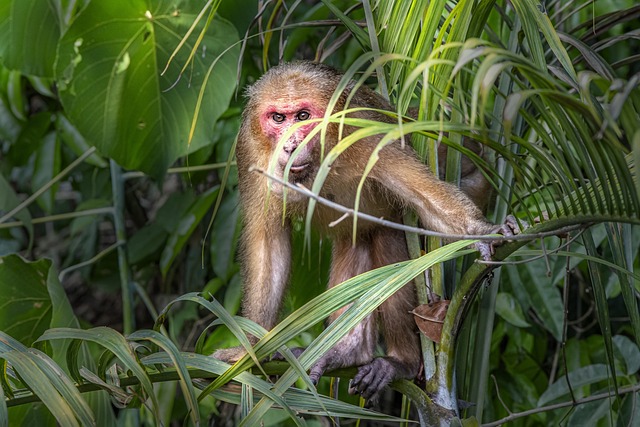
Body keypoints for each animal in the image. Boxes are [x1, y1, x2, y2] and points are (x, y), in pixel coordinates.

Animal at [214, 61, 516, 402]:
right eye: (278, 118)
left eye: (302, 117)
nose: (290, 144)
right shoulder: (249, 148)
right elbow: (268, 245)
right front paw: (250, 350)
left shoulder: (367, 134)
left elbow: (425, 198)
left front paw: (481, 231)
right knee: (358, 239)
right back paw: (350, 351)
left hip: (477, 181)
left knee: (393, 242)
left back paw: (402, 363)